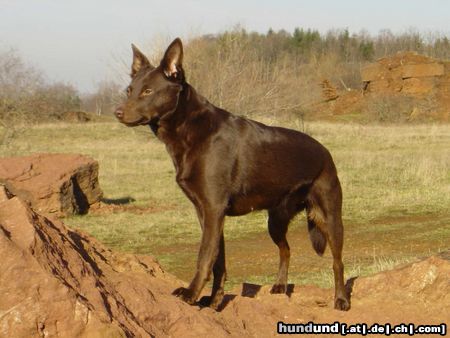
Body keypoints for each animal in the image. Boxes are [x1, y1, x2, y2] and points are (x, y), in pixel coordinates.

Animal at [114, 38, 350, 310]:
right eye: (129, 90)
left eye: (148, 92)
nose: (117, 113)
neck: (190, 129)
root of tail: (325, 151)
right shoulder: (206, 212)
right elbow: (218, 260)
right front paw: (213, 301)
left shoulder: (213, 209)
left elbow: (205, 256)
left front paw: (191, 293)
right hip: (275, 221)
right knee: (286, 249)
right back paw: (280, 286)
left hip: (330, 218)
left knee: (337, 261)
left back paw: (341, 299)